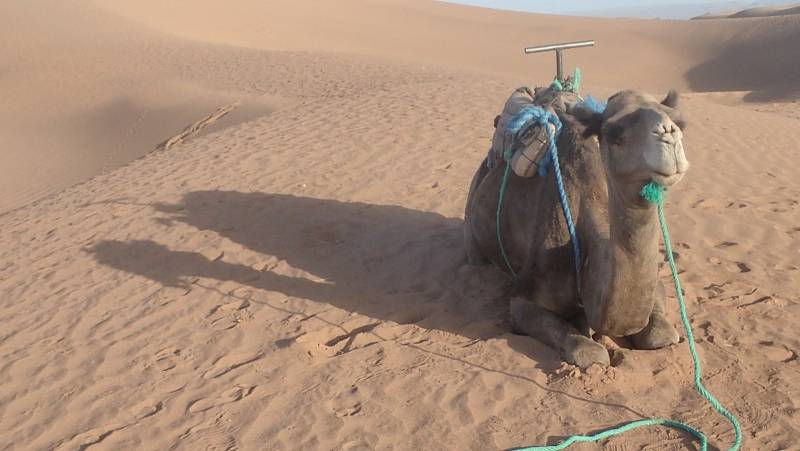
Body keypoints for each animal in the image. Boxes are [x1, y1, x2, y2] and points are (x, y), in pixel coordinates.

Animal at [466, 88, 692, 368]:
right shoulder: (523, 296)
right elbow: (586, 351)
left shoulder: (657, 286)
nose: (668, 133)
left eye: (680, 121)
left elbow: (662, 335)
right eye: (613, 133)